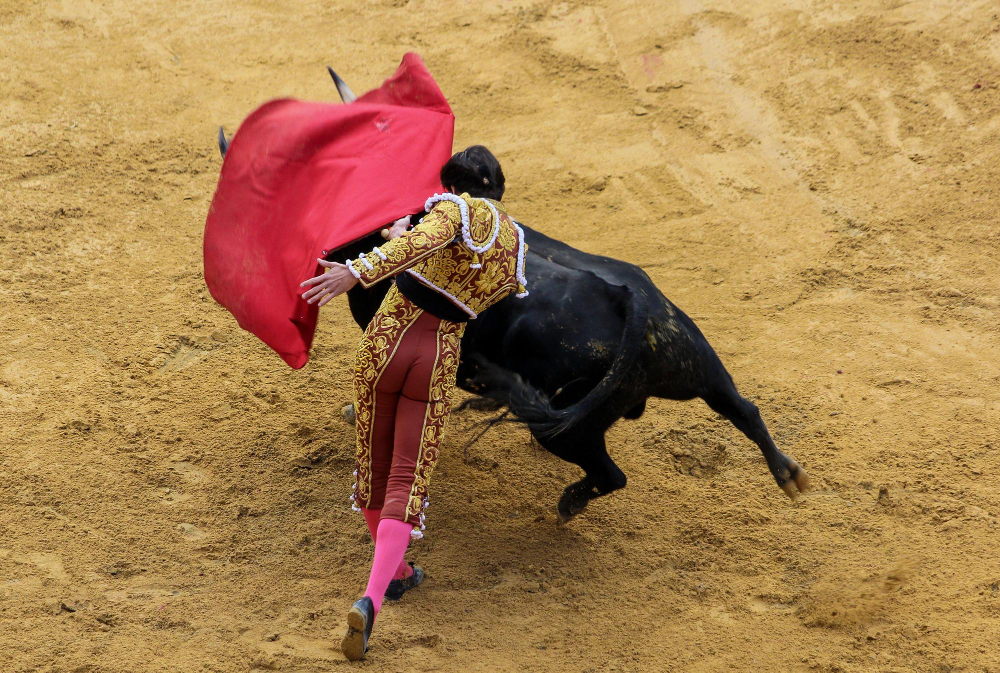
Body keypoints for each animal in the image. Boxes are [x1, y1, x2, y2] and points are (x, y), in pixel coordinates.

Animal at [332, 222, 808, 520]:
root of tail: (629, 300)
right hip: (697, 367)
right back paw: (789, 474)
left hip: (569, 429)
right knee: (743, 409)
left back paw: (568, 505)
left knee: (609, 473)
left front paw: (355, 414)